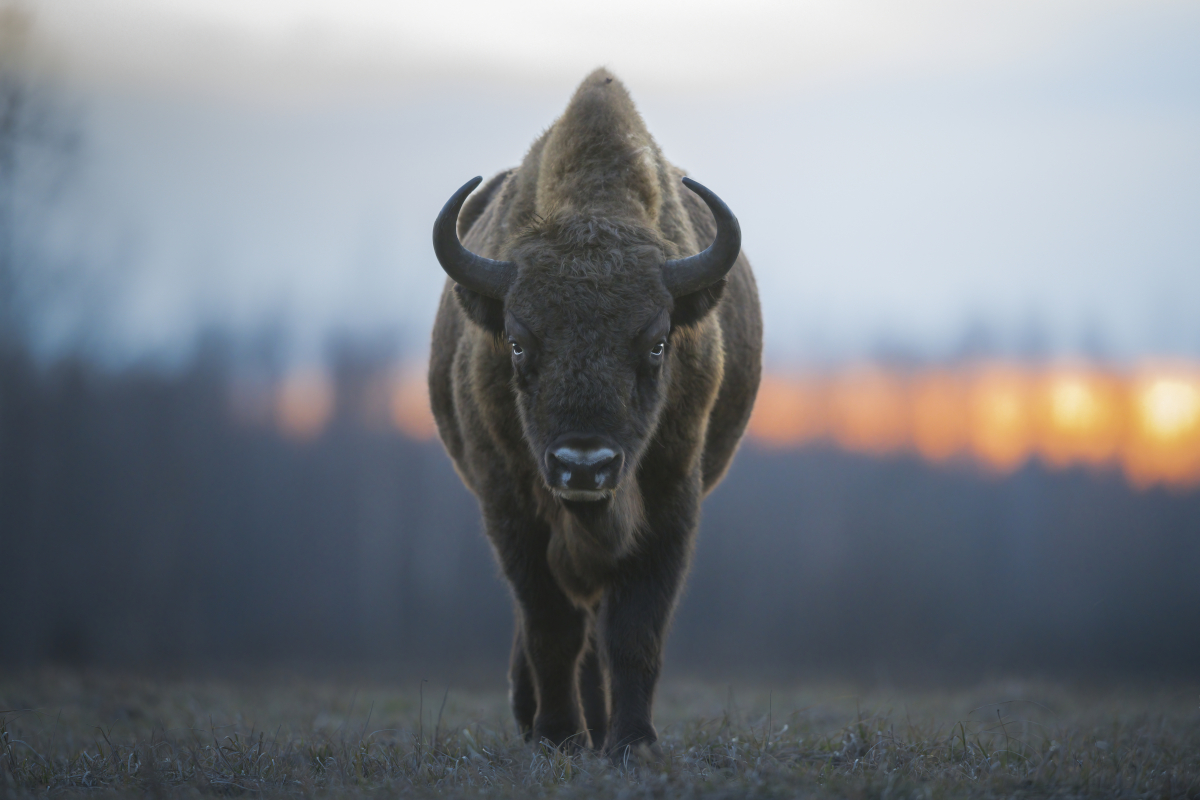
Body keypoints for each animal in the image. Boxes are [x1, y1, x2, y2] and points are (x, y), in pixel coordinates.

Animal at [427, 68, 758, 758]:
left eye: (657, 342)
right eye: (518, 341)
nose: (585, 465)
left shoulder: (669, 504)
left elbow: (633, 632)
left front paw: (632, 741)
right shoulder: (511, 506)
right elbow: (551, 627)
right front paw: (558, 735)